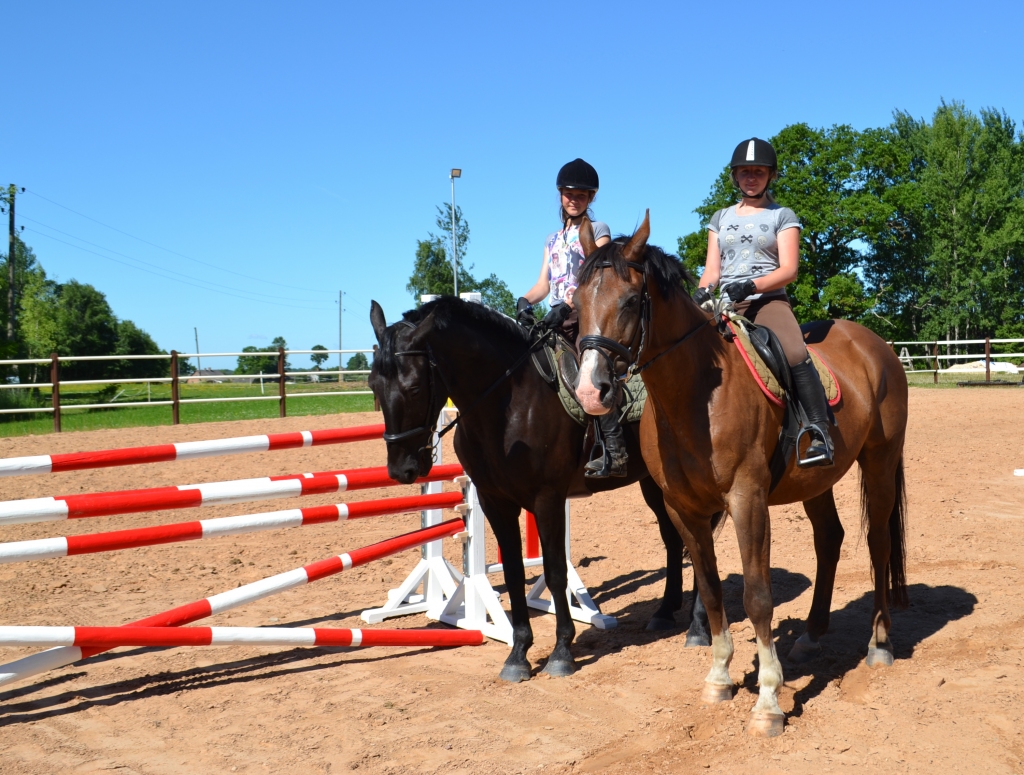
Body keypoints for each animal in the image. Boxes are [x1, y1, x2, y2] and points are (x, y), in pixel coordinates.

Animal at [370, 298, 720, 679]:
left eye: (415, 388)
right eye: (373, 386)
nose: (402, 469)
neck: (507, 404)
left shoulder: (548, 499)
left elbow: (555, 573)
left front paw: (561, 652)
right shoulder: (495, 502)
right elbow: (514, 572)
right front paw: (518, 653)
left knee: (700, 540)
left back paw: (699, 626)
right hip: (654, 484)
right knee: (675, 540)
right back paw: (665, 612)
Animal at [573, 212, 909, 737]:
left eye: (629, 301)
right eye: (575, 303)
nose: (591, 392)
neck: (695, 396)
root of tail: (876, 344)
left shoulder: (746, 499)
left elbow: (756, 597)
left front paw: (768, 700)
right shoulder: (684, 509)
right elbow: (711, 592)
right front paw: (718, 678)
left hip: (879, 461)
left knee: (877, 544)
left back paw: (879, 644)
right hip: (816, 479)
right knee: (829, 539)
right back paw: (811, 635)